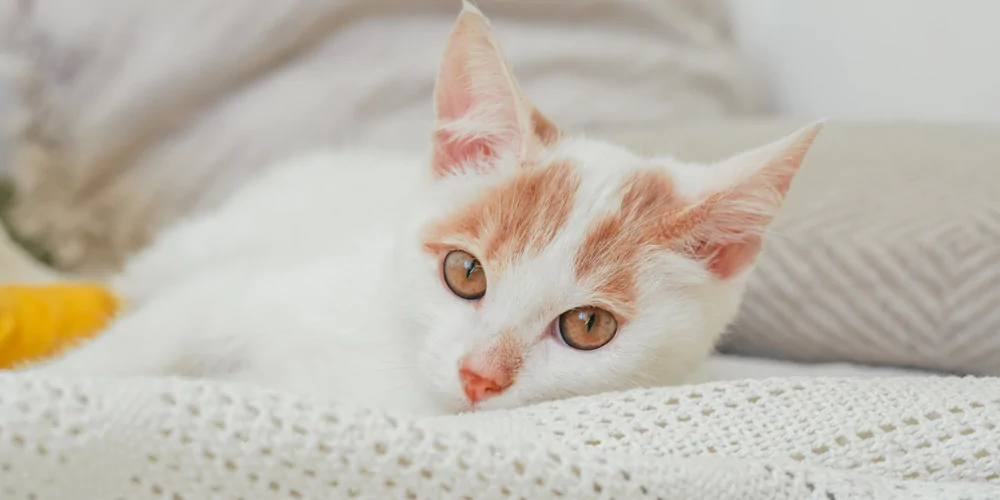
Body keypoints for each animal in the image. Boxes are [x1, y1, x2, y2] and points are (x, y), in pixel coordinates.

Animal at [33, 1, 828, 416]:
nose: (481, 377)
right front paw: (44, 390)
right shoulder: (235, 294)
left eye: (588, 328)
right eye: (465, 273)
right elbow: (146, 341)